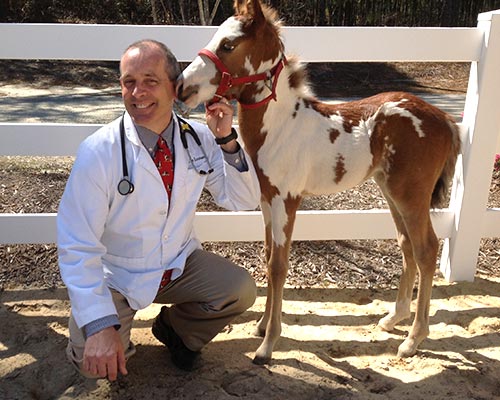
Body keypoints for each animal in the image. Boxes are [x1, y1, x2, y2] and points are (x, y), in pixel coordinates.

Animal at [177, 0, 460, 364]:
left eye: (228, 45)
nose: (181, 87)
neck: (280, 126)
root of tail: (445, 118)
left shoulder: (287, 200)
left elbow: (278, 266)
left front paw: (267, 345)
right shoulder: (267, 200)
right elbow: (268, 258)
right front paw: (261, 327)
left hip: (411, 194)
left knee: (426, 250)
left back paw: (413, 339)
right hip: (391, 192)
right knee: (406, 245)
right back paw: (392, 319)